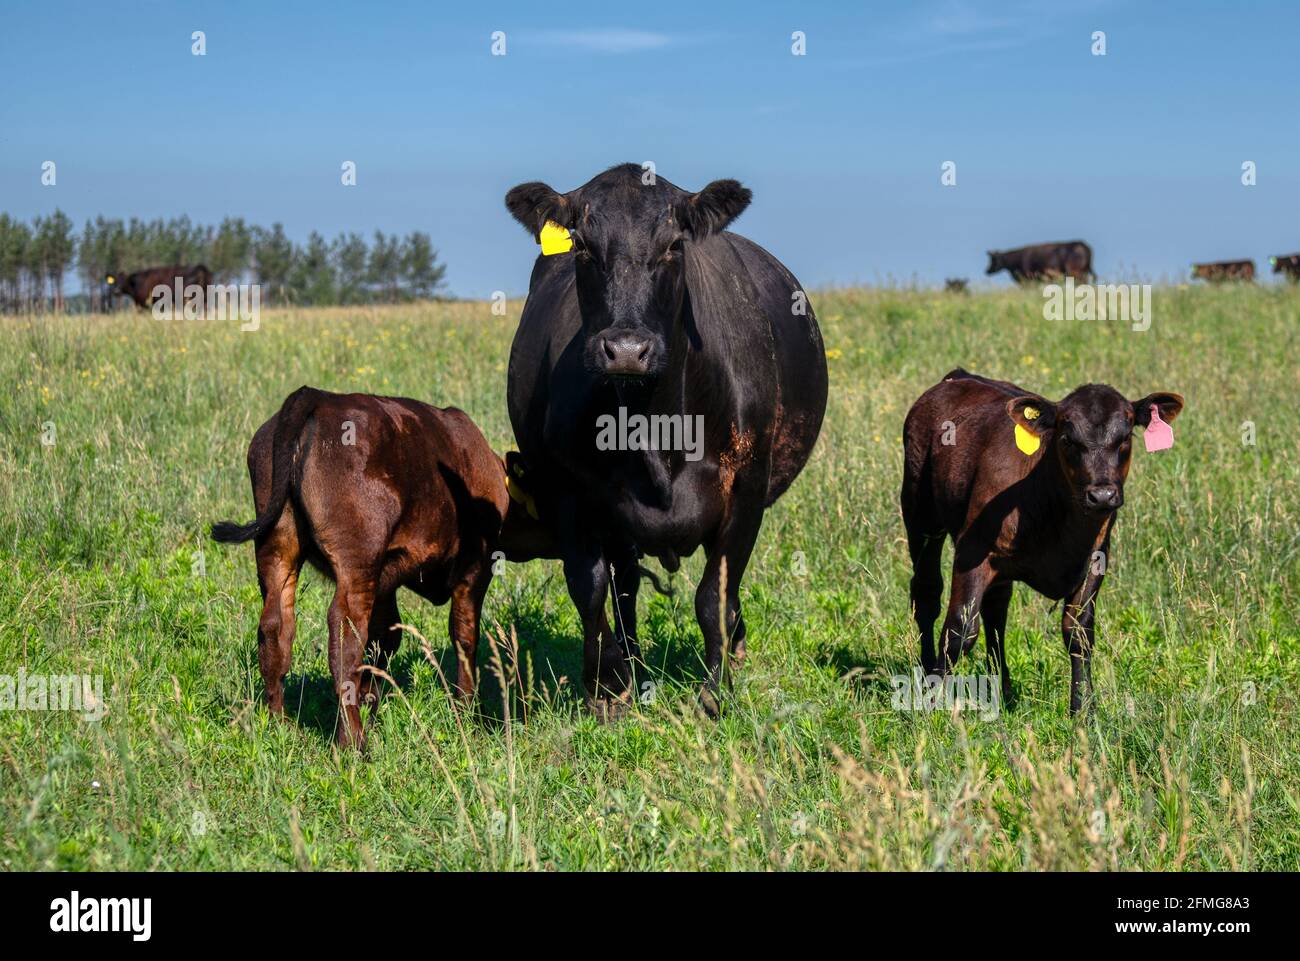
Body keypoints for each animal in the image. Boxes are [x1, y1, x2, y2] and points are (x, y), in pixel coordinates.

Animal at [211, 386, 546, 748]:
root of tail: (317, 397)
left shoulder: (386, 581)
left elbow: (384, 640)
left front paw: (373, 704)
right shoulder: (474, 570)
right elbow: (464, 637)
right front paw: (467, 713)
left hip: (278, 549)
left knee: (276, 627)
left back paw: (280, 725)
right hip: (357, 560)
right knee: (344, 638)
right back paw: (353, 742)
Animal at [503, 163, 828, 719]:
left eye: (675, 245)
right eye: (582, 246)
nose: (626, 350)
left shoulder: (746, 486)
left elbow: (714, 596)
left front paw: (715, 693)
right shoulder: (569, 492)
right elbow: (591, 589)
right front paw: (605, 687)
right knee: (626, 588)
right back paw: (630, 665)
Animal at [901, 368, 1183, 714]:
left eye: (1126, 437)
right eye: (1067, 438)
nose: (1102, 495)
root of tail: (959, 377)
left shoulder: (1096, 558)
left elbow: (1078, 632)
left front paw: (1083, 711)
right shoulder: (972, 551)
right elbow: (960, 630)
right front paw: (931, 707)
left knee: (996, 610)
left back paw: (1001, 689)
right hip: (920, 513)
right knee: (927, 594)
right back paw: (927, 673)